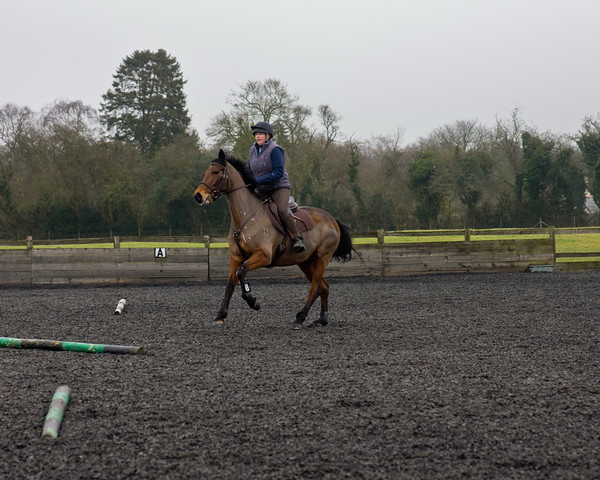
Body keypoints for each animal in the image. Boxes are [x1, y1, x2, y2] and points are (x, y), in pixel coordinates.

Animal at [192, 149, 354, 326]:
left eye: (215, 172)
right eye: (207, 171)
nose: (198, 196)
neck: (247, 217)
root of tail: (332, 219)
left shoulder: (264, 256)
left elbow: (241, 272)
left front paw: (253, 301)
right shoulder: (236, 257)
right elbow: (230, 284)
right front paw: (220, 315)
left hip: (321, 259)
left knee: (315, 287)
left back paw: (301, 316)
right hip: (306, 262)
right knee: (324, 286)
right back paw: (321, 319)